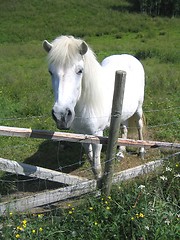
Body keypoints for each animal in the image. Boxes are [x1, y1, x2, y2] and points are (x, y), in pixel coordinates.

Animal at [43, 35, 146, 178]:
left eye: (80, 71)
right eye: (50, 72)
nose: (61, 115)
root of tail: (128, 56)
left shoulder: (97, 135)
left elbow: (97, 167)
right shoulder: (82, 135)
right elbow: (92, 164)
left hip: (138, 109)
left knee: (139, 126)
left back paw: (141, 151)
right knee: (124, 128)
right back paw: (120, 152)